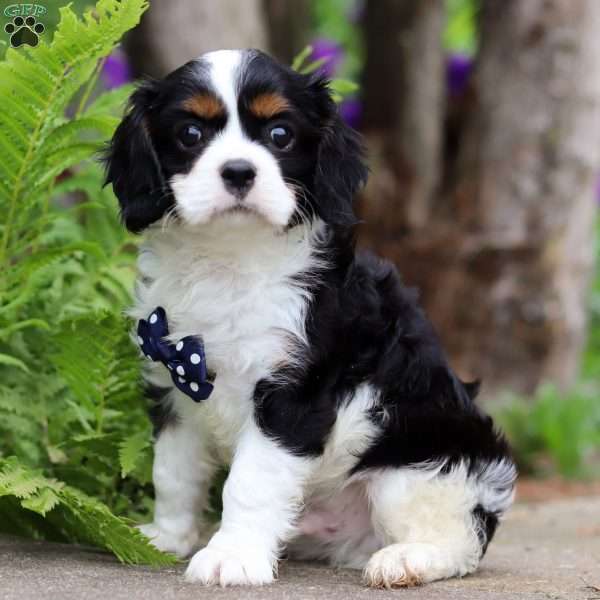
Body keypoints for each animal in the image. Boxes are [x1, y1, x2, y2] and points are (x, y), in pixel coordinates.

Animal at [103, 49, 516, 588]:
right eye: (190, 133)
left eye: (280, 134)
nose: (239, 171)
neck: (230, 262)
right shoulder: (175, 380)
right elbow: (173, 471)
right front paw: (167, 536)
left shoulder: (292, 399)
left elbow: (249, 482)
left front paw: (233, 555)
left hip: (420, 464)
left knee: (458, 539)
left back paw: (406, 559)